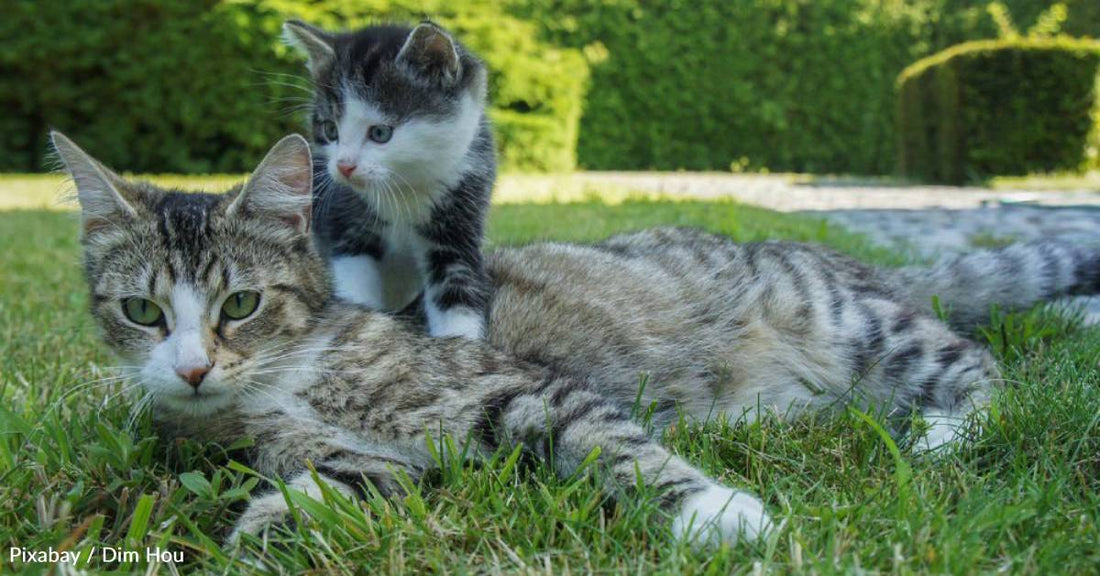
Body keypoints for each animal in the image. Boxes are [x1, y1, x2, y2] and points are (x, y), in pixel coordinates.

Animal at [58, 133, 1100, 547]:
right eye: (143, 313)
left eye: (238, 304)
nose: (193, 368)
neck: (289, 378)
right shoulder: (349, 461)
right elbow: (340, 488)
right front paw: (262, 530)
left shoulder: (510, 387)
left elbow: (610, 441)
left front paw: (720, 515)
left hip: (861, 327)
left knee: (985, 370)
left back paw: (944, 434)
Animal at [283, 20, 495, 340]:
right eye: (330, 130)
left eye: (381, 133)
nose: (344, 166)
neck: (404, 185)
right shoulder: (347, 223)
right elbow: (355, 287)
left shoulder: (460, 219)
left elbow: (457, 293)